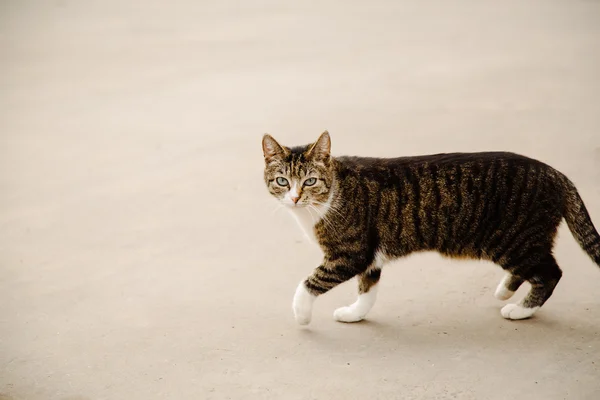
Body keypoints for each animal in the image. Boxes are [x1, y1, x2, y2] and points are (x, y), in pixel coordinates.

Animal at [262, 131, 600, 324]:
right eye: (282, 181)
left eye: (310, 181)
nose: (295, 197)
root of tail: (556, 173)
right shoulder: (369, 255)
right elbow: (368, 289)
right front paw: (355, 314)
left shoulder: (350, 253)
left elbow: (311, 281)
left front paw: (301, 314)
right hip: (517, 243)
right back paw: (505, 291)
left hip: (513, 240)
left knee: (551, 273)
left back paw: (520, 310)